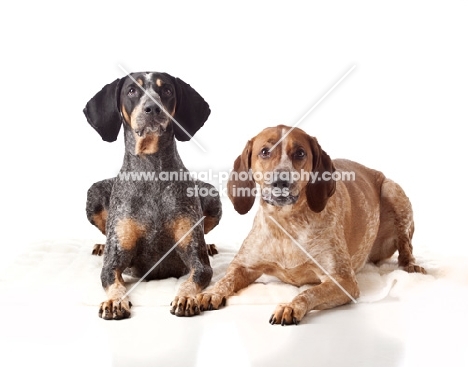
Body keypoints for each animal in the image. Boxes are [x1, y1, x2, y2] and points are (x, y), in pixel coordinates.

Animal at [83, 72, 221, 320]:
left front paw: (186, 297)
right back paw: (100, 245)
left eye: (166, 90)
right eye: (131, 90)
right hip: (94, 193)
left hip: (212, 194)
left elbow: (192, 279)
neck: (152, 172)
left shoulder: (198, 261)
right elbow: (113, 281)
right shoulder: (113, 263)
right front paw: (115, 301)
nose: (153, 108)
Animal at [196, 126, 426, 324]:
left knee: (406, 244)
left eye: (300, 153)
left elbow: (309, 292)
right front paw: (209, 293)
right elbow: (224, 280)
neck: (286, 224)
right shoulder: (243, 266)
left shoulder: (343, 281)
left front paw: (290, 306)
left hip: (392, 190)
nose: (281, 181)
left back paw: (410, 264)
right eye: (264, 152)